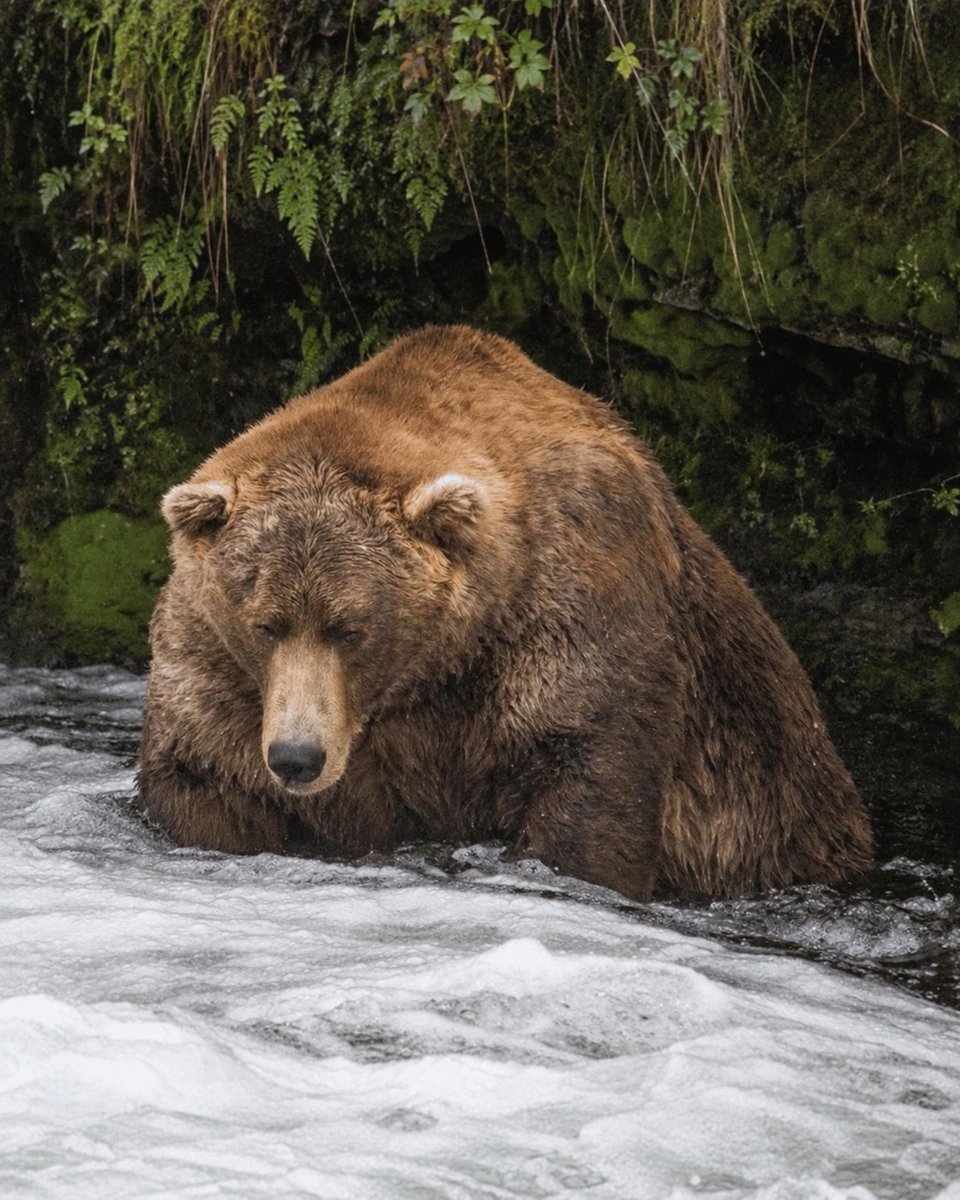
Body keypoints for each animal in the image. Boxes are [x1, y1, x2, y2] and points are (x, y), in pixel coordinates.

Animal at [138, 324, 872, 901]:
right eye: (264, 624)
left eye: (351, 627)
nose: (297, 757)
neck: (437, 667)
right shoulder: (216, 664)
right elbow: (201, 772)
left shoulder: (570, 606)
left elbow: (588, 776)